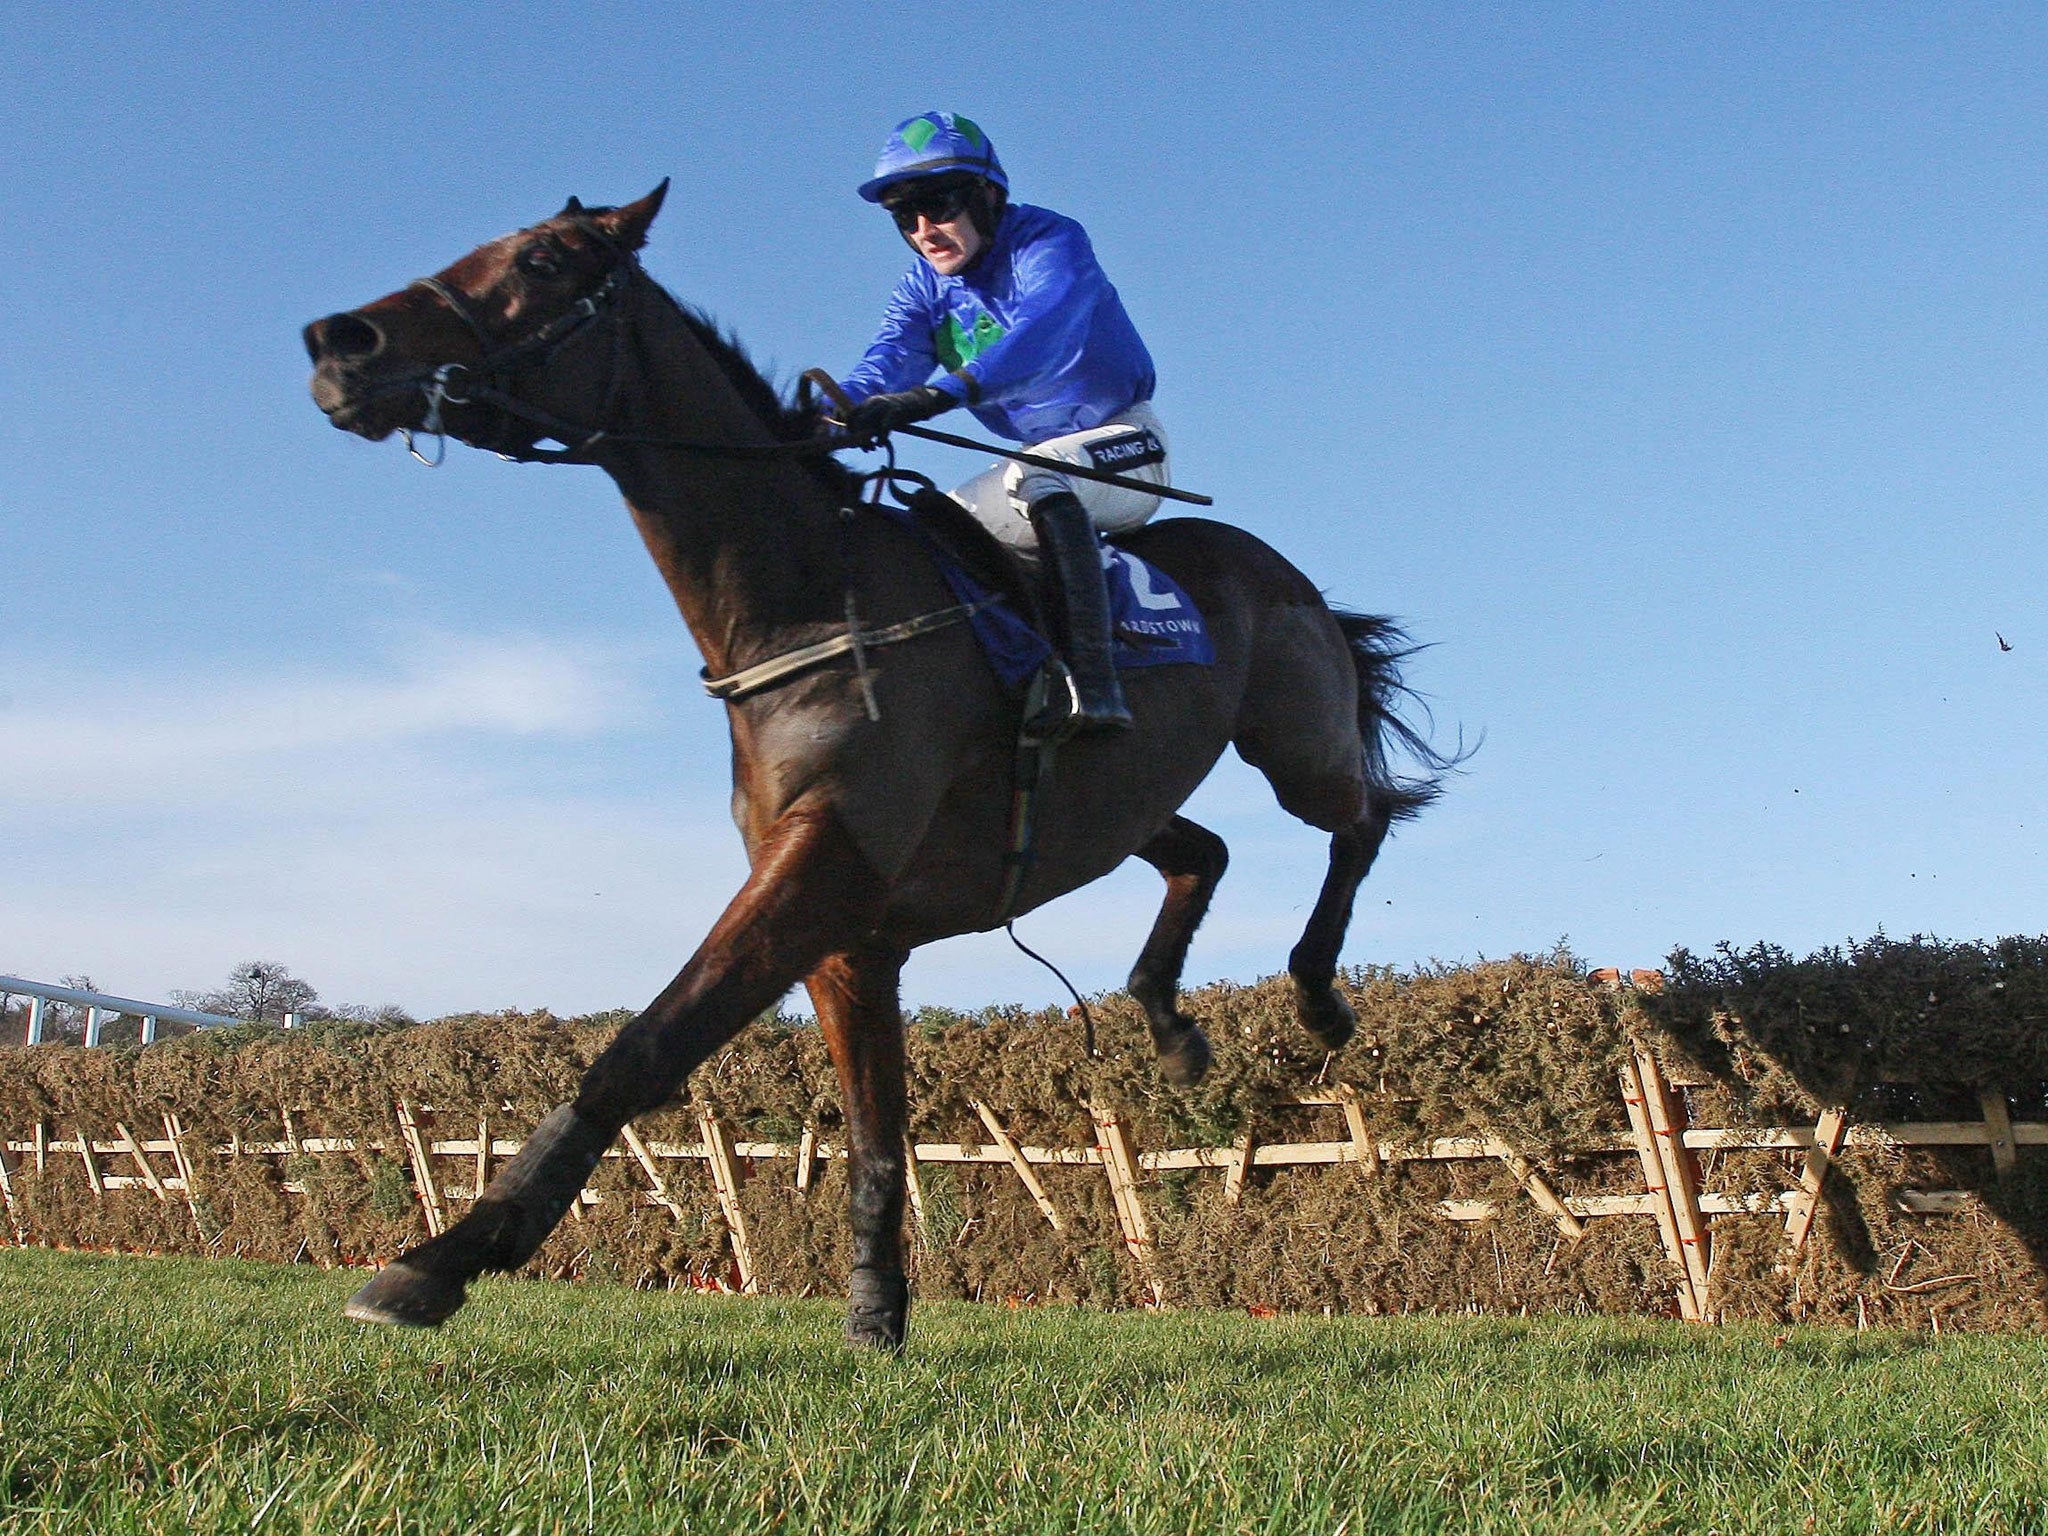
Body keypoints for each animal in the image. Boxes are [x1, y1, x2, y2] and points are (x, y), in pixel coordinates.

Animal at [307, 186, 1441, 1351]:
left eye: (539, 260)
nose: (339, 344)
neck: (807, 612)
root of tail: (1284, 572)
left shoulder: (825, 865)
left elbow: (644, 1049)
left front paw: (440, 1259)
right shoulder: (849, 933)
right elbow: (873, 1134)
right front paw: (874, 1309)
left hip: (1291, 744)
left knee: (1361, 817)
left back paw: (1316, 997)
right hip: (1122, 806)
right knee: (1201, 850)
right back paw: (1167, 1025)